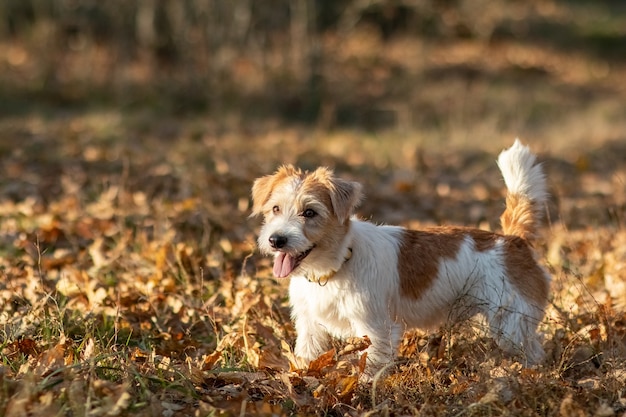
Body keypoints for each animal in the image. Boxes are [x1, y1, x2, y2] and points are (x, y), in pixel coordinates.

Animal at [251, 140, 548, 374]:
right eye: (275, 209)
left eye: (310, 212)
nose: (276, 240)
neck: (335, 264)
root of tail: (513, 239)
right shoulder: (309, 325)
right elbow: (307, 357)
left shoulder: (376, 330)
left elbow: (369, 368)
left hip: (510, 324)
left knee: (534, 350)